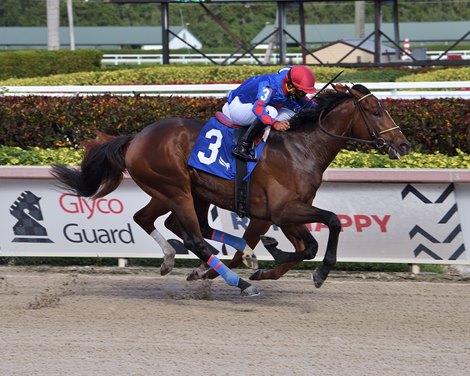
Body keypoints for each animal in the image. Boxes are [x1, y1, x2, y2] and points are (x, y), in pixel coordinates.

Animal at [51, 83, 410, 296]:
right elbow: (332, 222)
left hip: (179, 192)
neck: (300, 149)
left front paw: (267, 263)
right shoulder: (281, 211)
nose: (403, 144)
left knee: (155, 220)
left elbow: (306, 247)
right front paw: (318, 272)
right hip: (175, 188)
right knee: (193, 237)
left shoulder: (283, 215)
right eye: (376, 111)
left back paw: (182, 260)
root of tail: (135, 137)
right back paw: (239, 281)